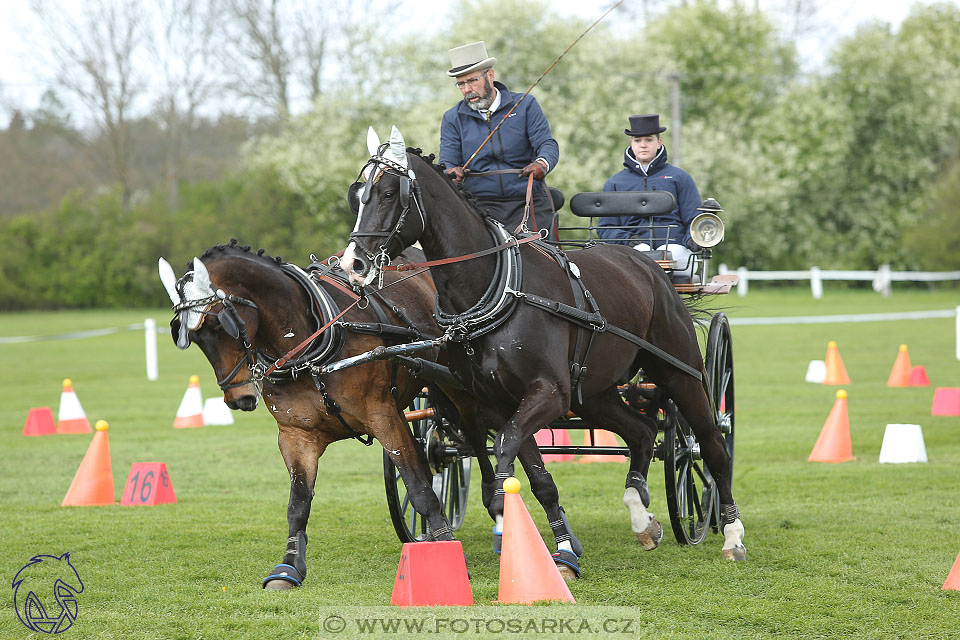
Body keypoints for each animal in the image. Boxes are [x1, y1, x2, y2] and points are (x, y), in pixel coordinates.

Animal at [158, 241, 498, 592]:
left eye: (218, 324)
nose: (238, 398)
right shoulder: (296, 436)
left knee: (473, 434)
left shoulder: (385, 417)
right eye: (188, 336)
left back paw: (495, 500)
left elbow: (419, 486)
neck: (309, 345)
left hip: (455, 381)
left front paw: (449, 555)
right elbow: (298, 503)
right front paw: (289, 567)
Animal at [342, 126, 748, 564]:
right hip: (594, 393)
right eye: (357, 193)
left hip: (680, 372)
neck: (496, 287)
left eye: (389, 193)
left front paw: (510, 521)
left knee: (711, 445)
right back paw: (641, 518)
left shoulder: (548, 393)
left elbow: (507, 450)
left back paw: (731, 533)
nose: (353, 264)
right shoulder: (500, 404)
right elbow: (535, 474)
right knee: (641, 431)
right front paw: (563, 546)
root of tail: (647, 264)